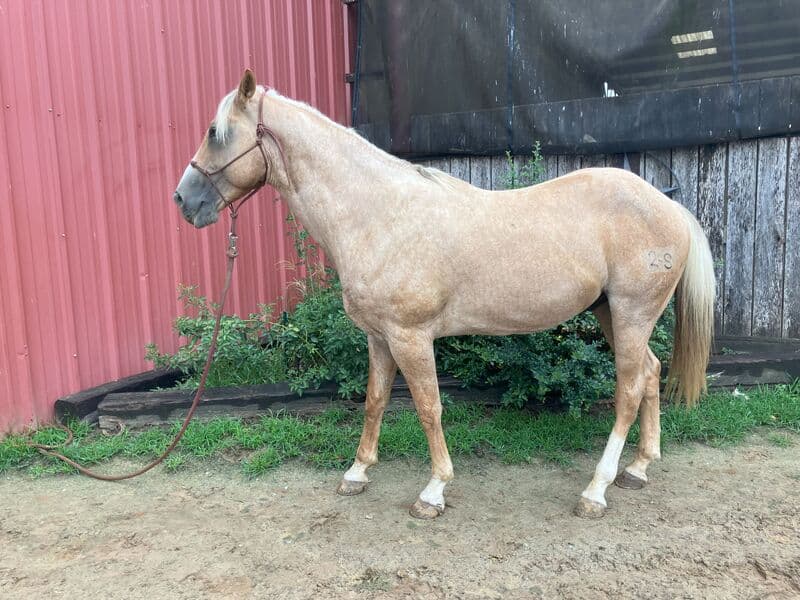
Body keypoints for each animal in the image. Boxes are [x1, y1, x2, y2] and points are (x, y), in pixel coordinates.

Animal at [174, 70, 715, 520]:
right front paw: (357, 473)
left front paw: (433, 491)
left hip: (631, 313)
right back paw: (638, 469)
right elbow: (374, 400)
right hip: (612, 313)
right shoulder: (379, 338)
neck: (379, 216)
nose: (184, 200)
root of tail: (668, 205)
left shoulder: (411, 337)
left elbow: (428, 407)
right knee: (650, 373)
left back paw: (595, 491)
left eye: (216, 133)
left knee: (628, 390)